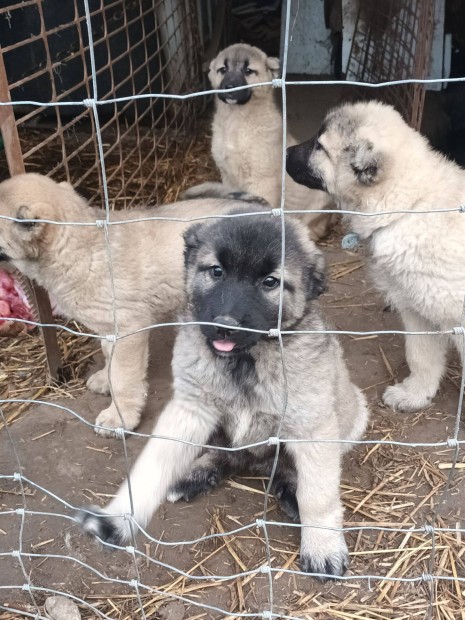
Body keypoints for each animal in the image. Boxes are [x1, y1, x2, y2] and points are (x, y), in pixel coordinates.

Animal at [0, 173, 260, 436]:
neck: (80, 247)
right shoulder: (110, 327)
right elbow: (108, 356)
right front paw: (104, 380)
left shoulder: (128, 331)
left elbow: (123, 377)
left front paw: (119, 417)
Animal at [78, 211, 368, 580]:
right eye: (216, 271)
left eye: (270, 282)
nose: (226, 324)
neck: (245, 361)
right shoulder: (190, 408)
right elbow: (154, 464)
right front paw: (118, 517)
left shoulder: (311, 424)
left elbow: (318, 494)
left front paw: (322, 545)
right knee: (219, 455)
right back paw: (195, 474)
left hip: (353, 416)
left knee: (290, 469)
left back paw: (289, 490)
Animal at [286, 100, 464, 412]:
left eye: (319, 146)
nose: (284, 154)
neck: (407, 206)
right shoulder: (417, 309)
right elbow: (421, 356)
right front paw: (415, 394)